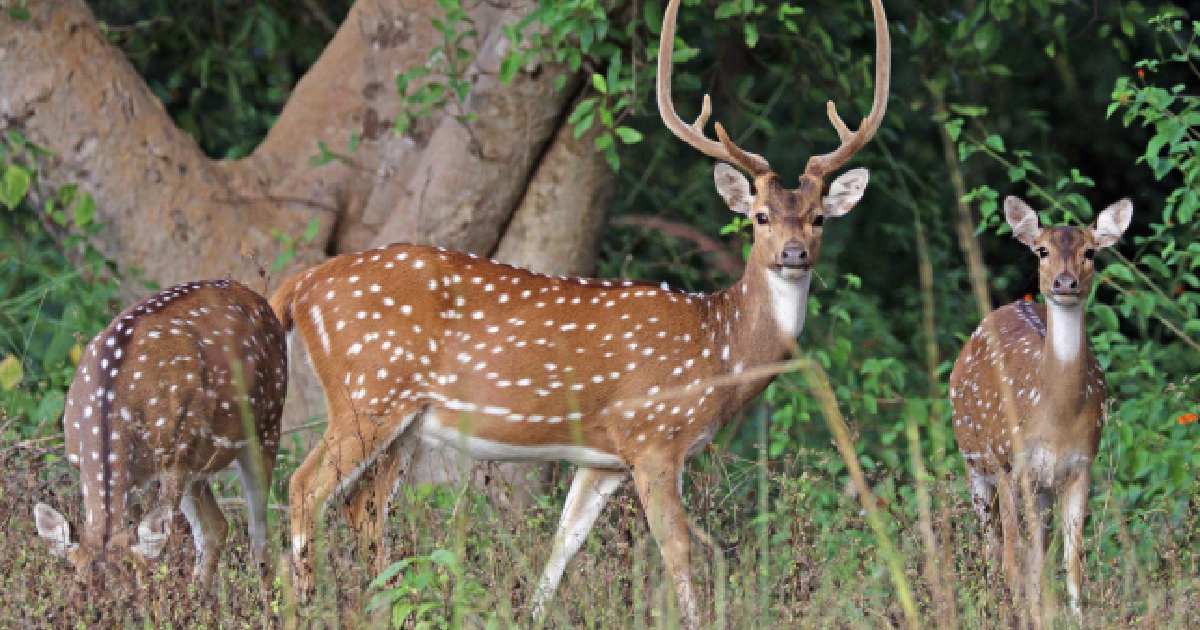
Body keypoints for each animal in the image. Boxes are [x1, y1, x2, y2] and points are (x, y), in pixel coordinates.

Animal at [33, 279, 288, 585]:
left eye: (134, 586)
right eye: (80, 586)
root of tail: (258, 298)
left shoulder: (173, 458)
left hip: (267, 423)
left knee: (259, 533)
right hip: (196, 460)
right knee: (216, 527)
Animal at [274, 0, 892, 619]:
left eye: (818, 217)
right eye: (760, 216)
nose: (794, 254)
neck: (719, 350)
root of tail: (302, 286)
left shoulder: (603, 459)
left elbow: (563, 545)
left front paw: (531, 616)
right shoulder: (654, 436)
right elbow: (679, 552)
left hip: (402, 418)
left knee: (363, 508)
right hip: (367, 390)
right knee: (304, 487)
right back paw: (303, 604)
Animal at [945, 196, 1132, 624]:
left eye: (1090, 252)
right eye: (1042, 250)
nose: (1064, 282)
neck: (1056, 418)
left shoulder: (1080, 466)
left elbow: (1070, 562)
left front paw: (1073, 618)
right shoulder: (1012, 464)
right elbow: (1015, 557)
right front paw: (1022, 615)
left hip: (1041, 486)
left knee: (1035, 552)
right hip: (978, 462)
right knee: (994, 545)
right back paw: (997, 603)